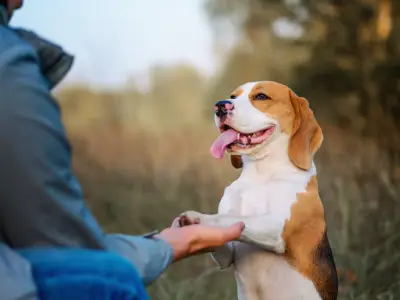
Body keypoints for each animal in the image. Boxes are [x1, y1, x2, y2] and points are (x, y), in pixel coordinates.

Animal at [179, 81, 338, 298]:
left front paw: (198, 218)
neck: (260, 173)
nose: (220, 106)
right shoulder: (228, 254)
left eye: (261, 97)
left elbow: (229, 218)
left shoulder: (277, 227)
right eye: (233, 96)